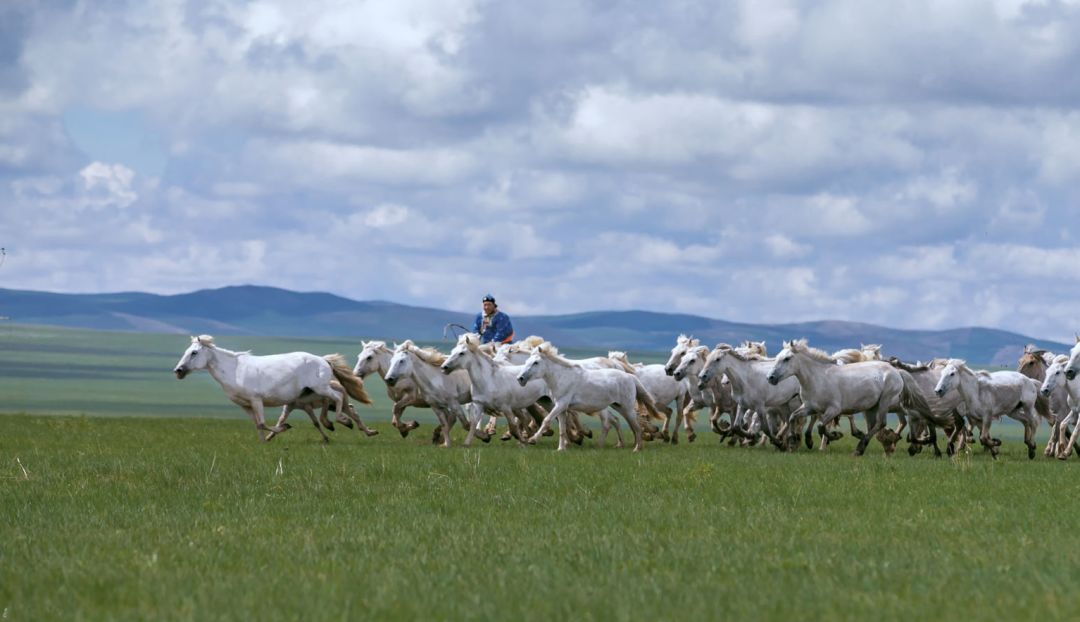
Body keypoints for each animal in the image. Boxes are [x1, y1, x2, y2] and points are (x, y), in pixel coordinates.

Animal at [170, 334, 369, 442]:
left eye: (194, 352)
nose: (178, 371)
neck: (235, 371)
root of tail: (323, 360)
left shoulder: (256, 400)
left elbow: (264, 423)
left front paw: (285, 428)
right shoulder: (245, 405)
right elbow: (257, 424)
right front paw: (263, 443)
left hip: (321, 388)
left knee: (338, 398)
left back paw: (343, 421)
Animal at [518, 343, 660, 449]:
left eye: (536, 362)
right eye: (527, 361)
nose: (520, 379)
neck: (562, 377)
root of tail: (630, 377)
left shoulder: (561, 404)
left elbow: (546, 420)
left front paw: (532, 439)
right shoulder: (561, 408)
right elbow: (561, 428)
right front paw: (561, 448)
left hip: (626, 408)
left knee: (635, 426)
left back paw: (636, 448)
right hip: (618, 406)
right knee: (625, 423)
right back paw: (623, 445)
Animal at [764, 341, 924, 457]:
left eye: (787, 358)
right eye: (777, 357)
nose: (770, 378)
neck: (817, 378)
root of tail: (896, 371)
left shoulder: (834, 409)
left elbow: (821, 426)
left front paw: (835, 436)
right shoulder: (810, 407)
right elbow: (793, 417)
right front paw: (795, 442)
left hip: (885, 402)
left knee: (881, 423)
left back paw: (860, 449)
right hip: (874, 407)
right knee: (877, 425)